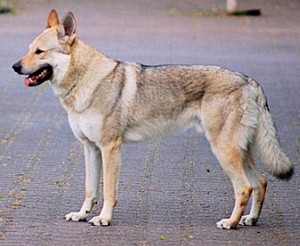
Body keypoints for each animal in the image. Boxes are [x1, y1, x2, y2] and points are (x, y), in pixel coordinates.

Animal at [12, 9, 292, 229]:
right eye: (28, 50)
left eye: (39, 52)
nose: (14, 67)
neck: (85, 81)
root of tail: (251, 82)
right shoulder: (90, 148)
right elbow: (90, 189)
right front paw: (81, 215)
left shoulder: (110, 148)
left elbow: (108, 191)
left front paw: (103, 219)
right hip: (240, 152)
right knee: (262, 182)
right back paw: (250, 220)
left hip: (224, 151)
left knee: (244, 187)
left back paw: (231, 223)